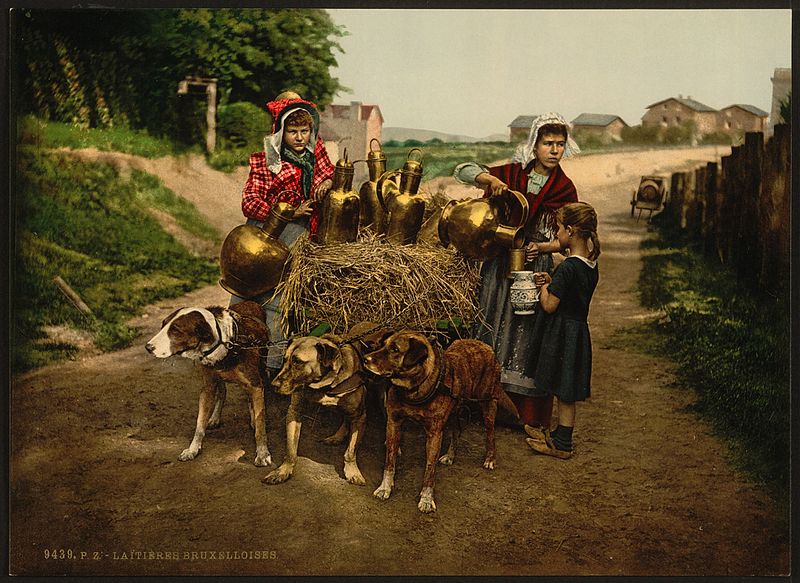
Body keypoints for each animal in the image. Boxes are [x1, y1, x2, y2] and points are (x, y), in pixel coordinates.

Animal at [147, 302, 276, 470]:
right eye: (163, 325)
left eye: (176, 330)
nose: (148, 347)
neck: (226, 343)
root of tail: (250, 302)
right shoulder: (208, 388)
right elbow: (199, 424)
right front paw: (193, 449)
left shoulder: (256, 385)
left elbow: (260, 425)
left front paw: (262, 453)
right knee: (222, 392)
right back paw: (215, 417)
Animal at [266, 334, 372, 488]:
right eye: (285, 359)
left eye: (297, 361)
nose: (273, 385)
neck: (324, 385)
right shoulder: (294, 412)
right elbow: (291, 449)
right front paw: (283, 470)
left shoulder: (360, 417)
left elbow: (351, 450)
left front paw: (352, 471)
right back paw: (337, 436)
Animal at [364, 330, 520, 512]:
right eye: (383, 344)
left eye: (395, 349)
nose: (365, 359)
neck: (414, 389)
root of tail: (485, 345)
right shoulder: (393, 424)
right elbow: (389, 462)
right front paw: (385, 488)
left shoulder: (435, 434)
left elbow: (430, 470)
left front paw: (426, 498)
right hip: (455, 411)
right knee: (456, 432)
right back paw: (451, 456)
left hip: (488, 404)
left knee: (491, 434)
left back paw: (490, 458)